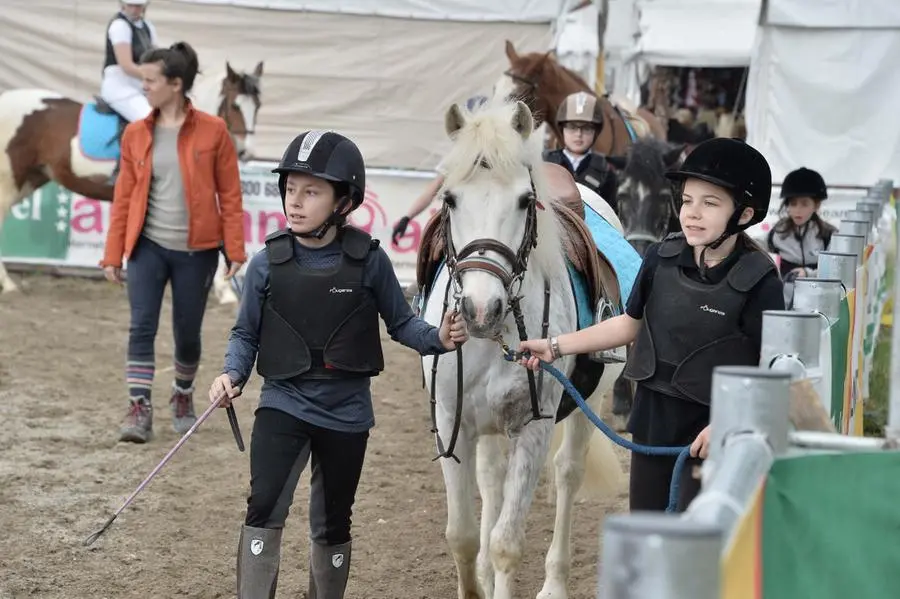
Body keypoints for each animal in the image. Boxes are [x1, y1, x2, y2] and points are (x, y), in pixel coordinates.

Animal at [0, 61, 262, 296]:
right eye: (235, 105)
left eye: (257, 106)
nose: (245, 153)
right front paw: (225, 290)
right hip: (10, 181)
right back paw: (8, 284)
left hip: (31, 178)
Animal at [424, 94, 624, 599]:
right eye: (449, 199)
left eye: (524, 200)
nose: (481, 309)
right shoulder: (451, 422)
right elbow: (462, 535)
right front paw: (476, 582)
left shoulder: (534, 428)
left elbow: (506, 542)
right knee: (491, 481)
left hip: (588, 403)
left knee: (568, 474)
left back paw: (554, 583)